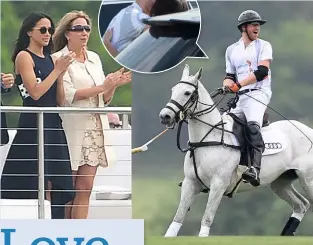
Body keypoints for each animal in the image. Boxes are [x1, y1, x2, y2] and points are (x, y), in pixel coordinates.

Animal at [158, 64, 312, 236]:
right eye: (173, 90)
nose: (165, 116)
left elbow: (206, 219)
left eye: (187, 92)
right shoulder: (190, 183)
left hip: (308, 180)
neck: (208, 138)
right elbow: (177, 219)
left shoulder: (218, 184)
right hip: (280, 182)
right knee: (301, 204)